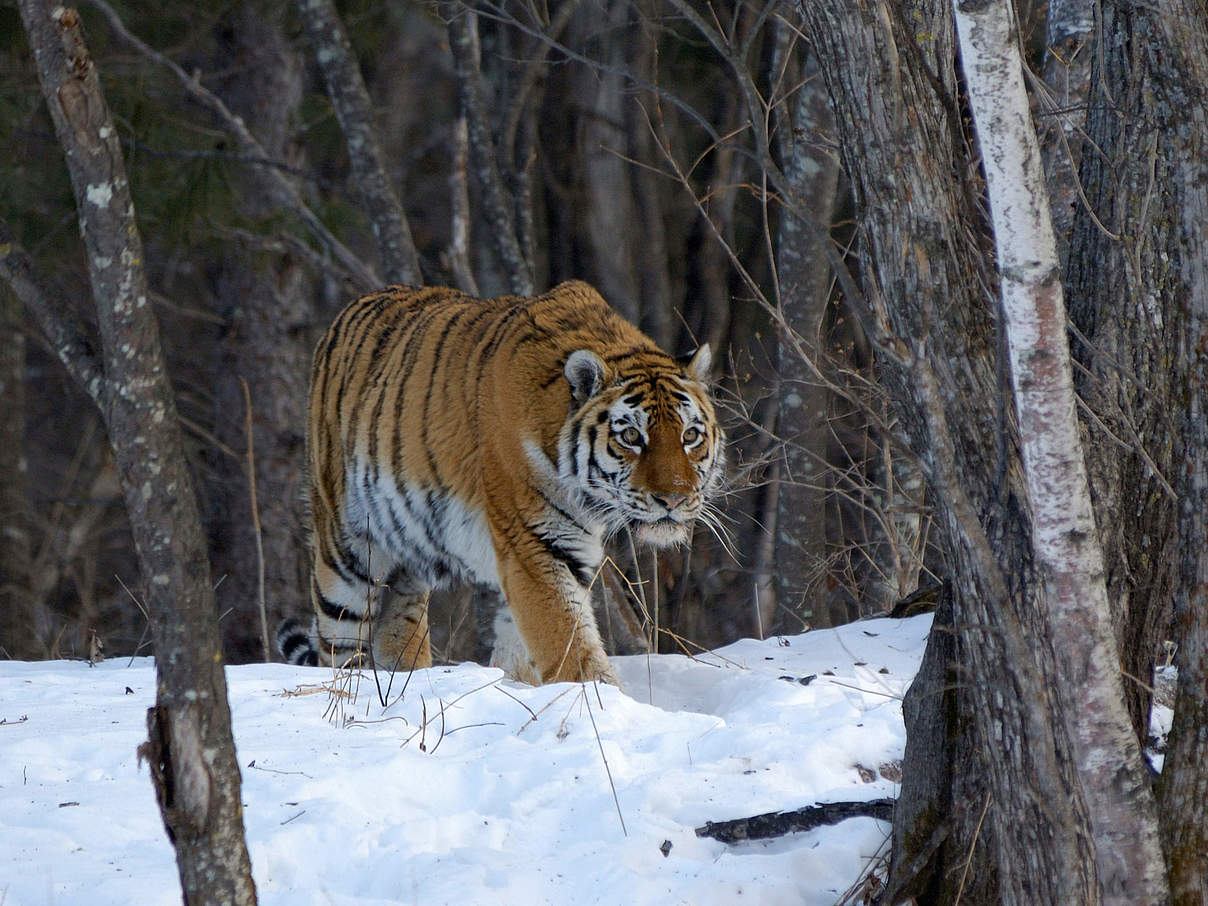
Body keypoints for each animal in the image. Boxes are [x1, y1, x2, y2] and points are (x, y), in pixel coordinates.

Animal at [274, 280, 719, 686]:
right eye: (630, 437)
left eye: (690, 436)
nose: (673, 499)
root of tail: (346, 313)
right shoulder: (535, 543)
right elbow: (568, 643)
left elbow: (522, 648)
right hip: (345, 555)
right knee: (339, 647)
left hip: (408, 560)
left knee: (397, 627)